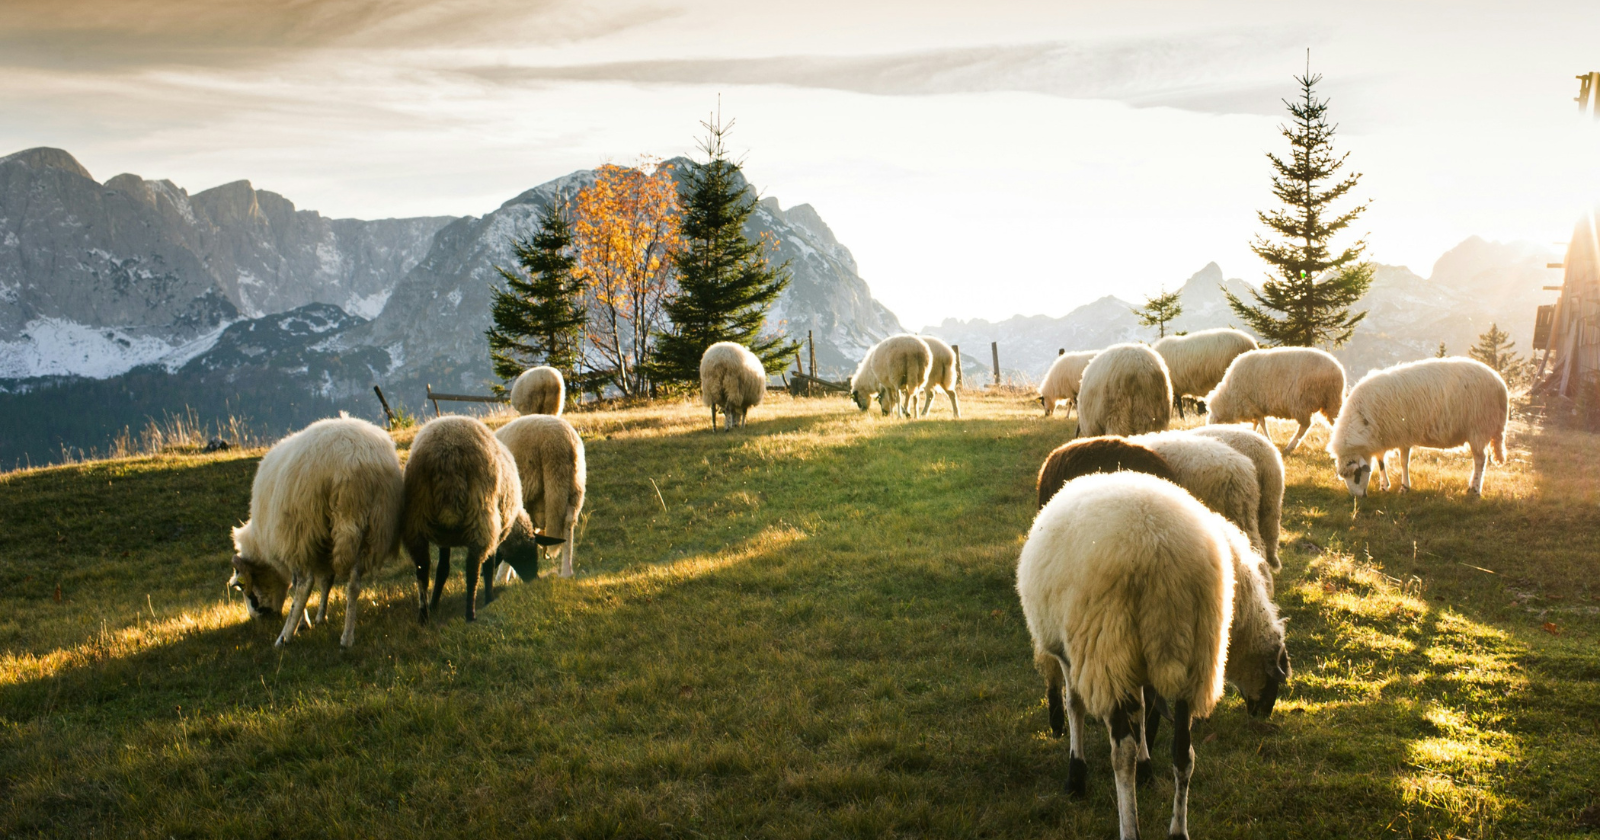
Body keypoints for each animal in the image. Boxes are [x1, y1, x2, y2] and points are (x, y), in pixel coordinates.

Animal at [227, 415, 404, 649]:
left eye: (241, 586)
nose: (258, 617)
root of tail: (355, 460)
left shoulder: (291, 542)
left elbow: (301, 584)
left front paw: (304, 623)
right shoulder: (326, 545)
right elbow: (327, 581)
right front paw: (321, 616)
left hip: (304, 527)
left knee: (305, 584)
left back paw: (284, 637)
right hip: (370, 525)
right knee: (354, 584)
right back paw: (346, 638)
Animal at [402, 415, 532, 623]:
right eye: (528, 552)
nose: (533, 578)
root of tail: (447, 455)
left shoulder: (443, 539)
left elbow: (443, 569)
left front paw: (435, 603)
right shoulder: (495, 532)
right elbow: (488, 565)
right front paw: (489, 598)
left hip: (416, 517)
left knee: (422, 569)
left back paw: (424, 615)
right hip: (481, 517)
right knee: (473, 568)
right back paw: (470, 613)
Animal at [1018, 472, 1288, 840]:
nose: (1262, 716)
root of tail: (1158, 552)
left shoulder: (1073, 651)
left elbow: (1077, 705)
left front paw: (1076, 776)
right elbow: (1143, 709)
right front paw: (1146, 768)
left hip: (1108, 646)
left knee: (1123, 754)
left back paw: (1129, 826)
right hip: (1193, 656)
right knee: (1184, 753)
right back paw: (1178, 830)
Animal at [1206, 347, 1346, 454]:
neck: (1228, 397)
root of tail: (1339, 370)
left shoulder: (1250, 404)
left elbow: (1261, 423)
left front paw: (1267, 439)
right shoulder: (1255, 407)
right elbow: (1257, 423)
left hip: (1305, 402)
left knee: (1305, 426)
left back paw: (1290, 447)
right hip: (1329, 401)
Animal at [1328, 357, 1510, 496]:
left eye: (1357, 474)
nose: (1356, 497)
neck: (1361, 418)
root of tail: (1500, 383)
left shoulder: (1402, 435)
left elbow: (1403, 462)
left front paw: (1404, 488)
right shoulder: (1380, 437)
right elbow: (1381, 462)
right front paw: (1384, 486)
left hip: (1479, 428)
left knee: (1480, 460)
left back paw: (1475, 489)